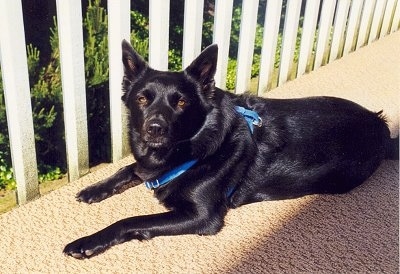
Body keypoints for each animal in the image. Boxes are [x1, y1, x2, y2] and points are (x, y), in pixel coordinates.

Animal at [63, 39, 396, 258]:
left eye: (181, 102)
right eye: (143, 99)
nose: (155, 128)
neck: (194, 147)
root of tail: (379, 123)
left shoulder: (202, 216)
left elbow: (131, 220)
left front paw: (87, 242)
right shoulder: (150, 166)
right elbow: (129, 168)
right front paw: (95, 189)